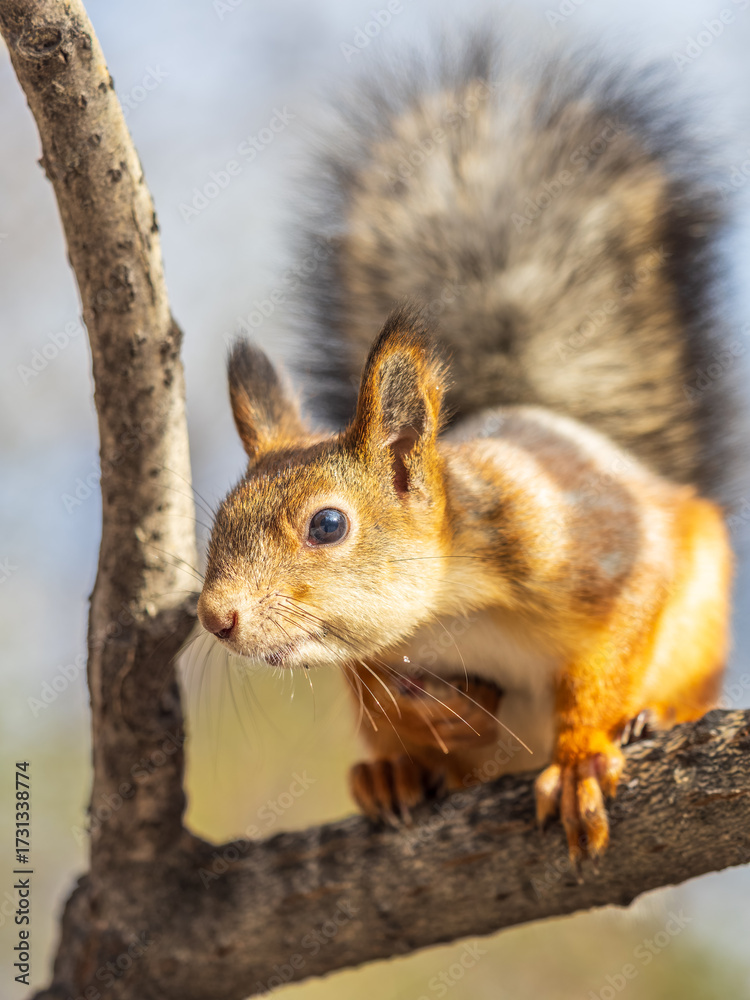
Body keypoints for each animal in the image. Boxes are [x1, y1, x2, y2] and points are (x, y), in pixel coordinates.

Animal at [196, 34, 736, 861]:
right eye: (219, 520)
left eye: (328, 525)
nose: (214, 616)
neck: (445, 611)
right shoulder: (375, 666)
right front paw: (432, 731)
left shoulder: (590, 550)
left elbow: (612, 647)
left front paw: (581, 756)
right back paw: (389, 774)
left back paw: (655, 716)